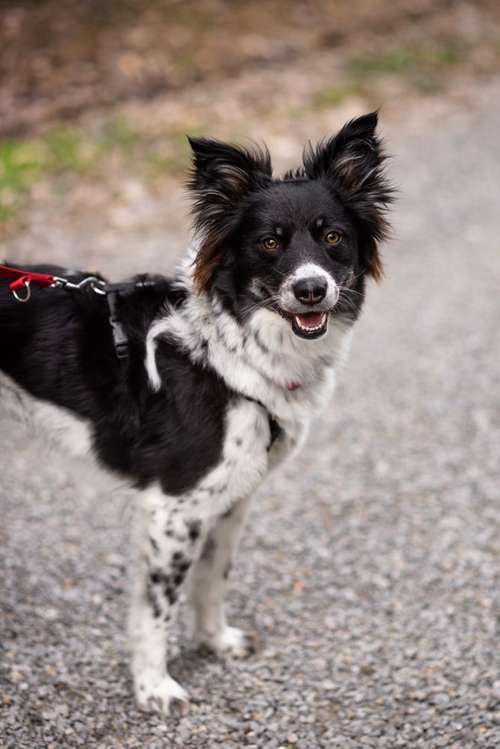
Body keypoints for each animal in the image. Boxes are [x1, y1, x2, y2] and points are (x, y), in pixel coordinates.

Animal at [0, 111, 390, 712]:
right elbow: (157, 609)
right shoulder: (173, 508)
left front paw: (214, 642)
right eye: (269, 243)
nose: (311, 289)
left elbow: (212, 579)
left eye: (333, 238)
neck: (231, 353)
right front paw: (153, 686)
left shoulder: (231, 497)